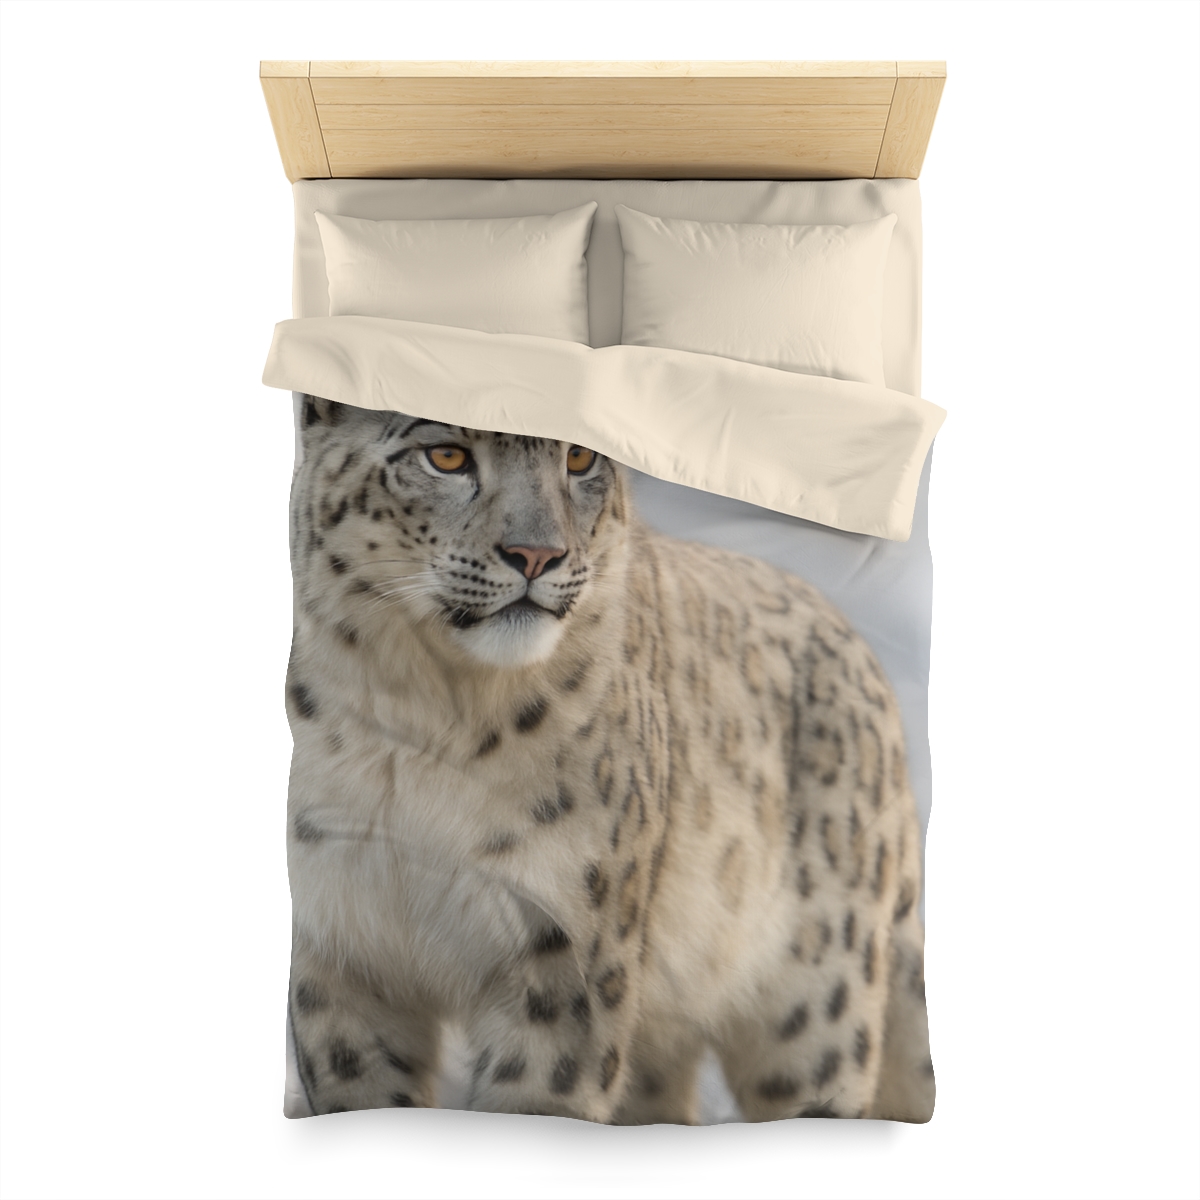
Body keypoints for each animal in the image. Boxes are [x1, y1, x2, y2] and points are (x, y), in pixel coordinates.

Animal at [284, 395, 934, 1124]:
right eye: (445, 455)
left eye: (579, 457)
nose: (537, 554)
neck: (426, 712)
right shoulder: (340, 945)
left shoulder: (564, 952)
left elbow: (539, 1099)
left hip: (815, 1006)